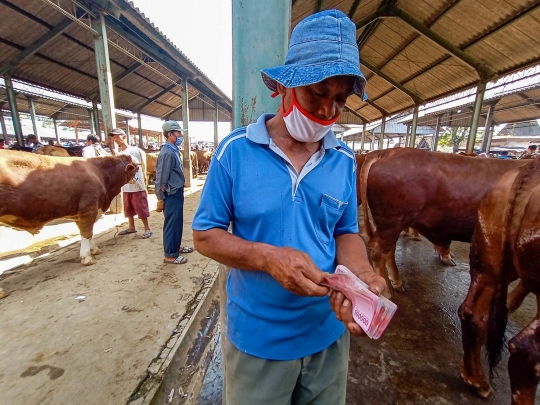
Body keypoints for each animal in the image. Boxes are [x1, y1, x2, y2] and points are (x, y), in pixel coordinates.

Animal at [0, 150, 138, 292]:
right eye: (134, 167)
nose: (139, 172)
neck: (99, 173)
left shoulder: (82, 213)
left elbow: (88, 233)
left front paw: (94, 249)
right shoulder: (88, 207)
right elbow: (87, 232)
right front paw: (87, 257)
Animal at [358, 148, 528, 290]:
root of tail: (386, 152)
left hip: (391, 224)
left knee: (388, 250)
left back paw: (396, 281)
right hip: (392, 222)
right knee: (378, 251)